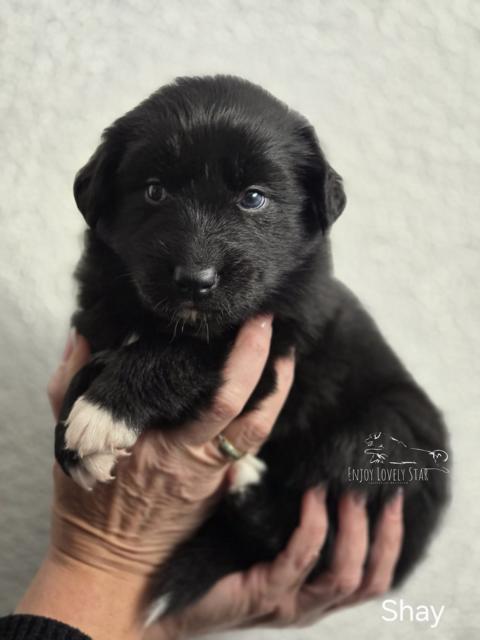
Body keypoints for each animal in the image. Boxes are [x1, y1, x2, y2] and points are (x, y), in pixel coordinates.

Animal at [55, 75, 450, 618]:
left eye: (253, 198)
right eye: (154, 191)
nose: (194, 281)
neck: (159, 319)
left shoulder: (272, 350)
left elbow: (182, 354)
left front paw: (103, 413)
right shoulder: (100, 315)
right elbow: (89, 366)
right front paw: (70, 438)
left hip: (386, 432)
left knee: (305, 523)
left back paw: (248, 488)